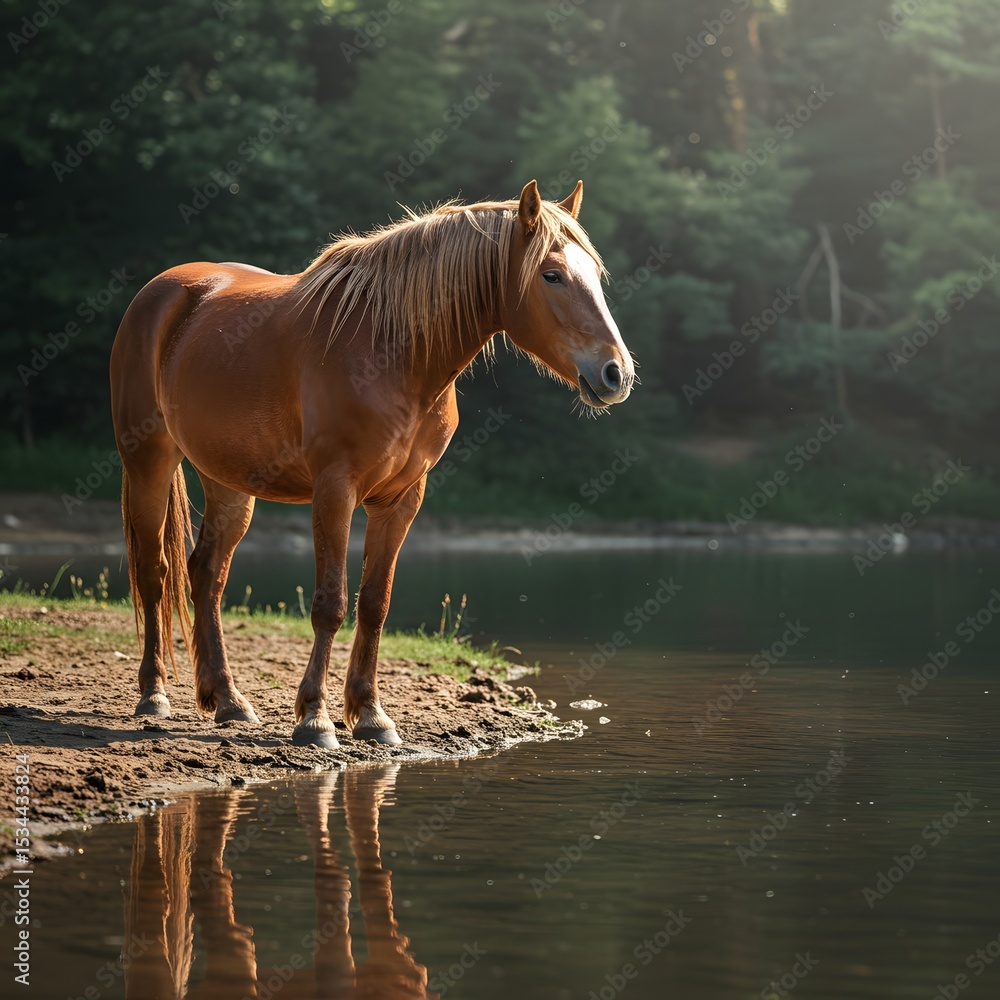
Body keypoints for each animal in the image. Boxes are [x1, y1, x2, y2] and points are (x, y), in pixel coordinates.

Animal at [110, 179, 635, 748]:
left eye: (594, 275)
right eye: (552, 274)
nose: (616, 373)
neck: (395, 353)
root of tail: (164, 291)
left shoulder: (400, 500)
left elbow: (374, 604)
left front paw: (371, 714)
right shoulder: (335, 489)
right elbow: (331, 603)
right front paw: (315, 718)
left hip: (228, 480)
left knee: (206, 575)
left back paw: (228, 701)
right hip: (149, 460)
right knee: (154, 571)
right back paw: (154, 694)